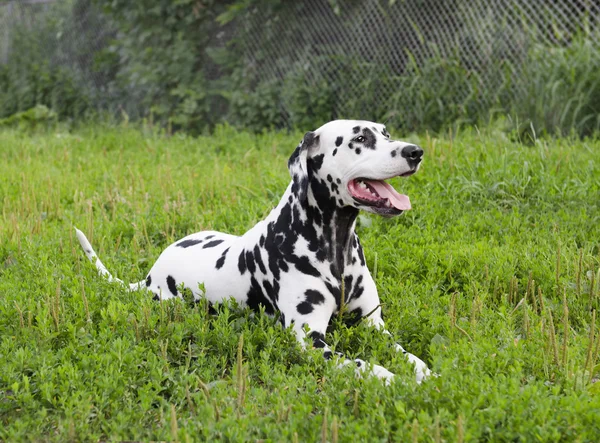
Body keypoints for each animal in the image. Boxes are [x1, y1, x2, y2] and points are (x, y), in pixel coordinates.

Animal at [75, 120, 432, 386]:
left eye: (386, 134)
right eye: (359, 138)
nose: (415, 152)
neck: (334, 248)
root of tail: (150, 276)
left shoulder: (374, 326)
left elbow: (409, 356)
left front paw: (426, 374)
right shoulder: (310, 341)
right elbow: (364, 365)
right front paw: (394, 380)